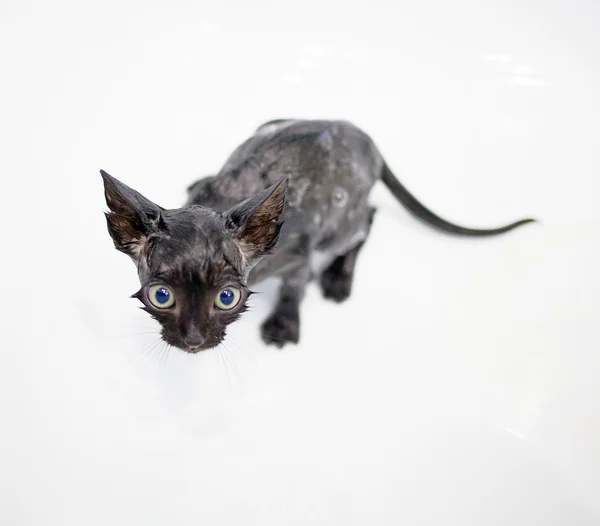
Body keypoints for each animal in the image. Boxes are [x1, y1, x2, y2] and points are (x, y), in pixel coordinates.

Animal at [99, 119, 536, 354]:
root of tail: (368, 140)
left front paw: (284, 325)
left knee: (367, 220)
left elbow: (295, 288)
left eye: (227, 297)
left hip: (340, 228)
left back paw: (338, 279)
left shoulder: (298, 257)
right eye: (161, 296)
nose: (192, 340)